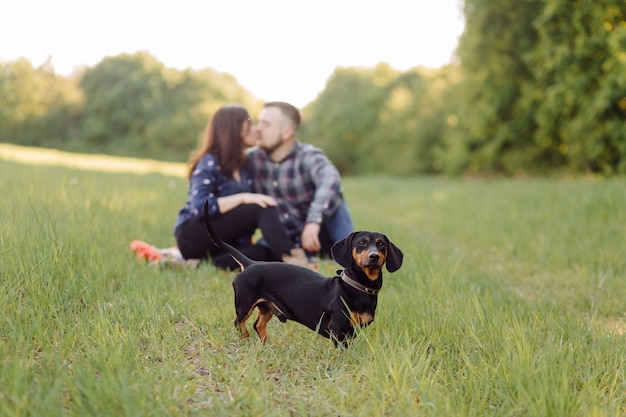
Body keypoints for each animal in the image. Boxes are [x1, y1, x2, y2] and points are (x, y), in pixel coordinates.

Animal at [202, 200, 402, 346]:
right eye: (361, 243)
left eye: (381, 244)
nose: (374, 256)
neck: (358, 287)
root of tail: (250, 263)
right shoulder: (338, 328)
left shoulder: (353, 330)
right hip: (244, 303)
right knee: (239, 323)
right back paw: (245, 342)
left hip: (266, 307)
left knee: (258, 325)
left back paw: (267, 345)